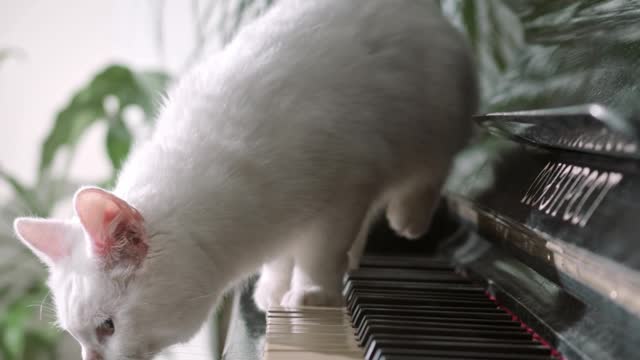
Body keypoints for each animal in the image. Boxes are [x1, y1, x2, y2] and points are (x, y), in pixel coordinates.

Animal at [13, 0, 476, 360]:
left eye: (107, 327)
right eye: (77, 336)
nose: (89, 359)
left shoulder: (346, 190)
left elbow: (319, 252)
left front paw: (311, 294)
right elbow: (285, 256)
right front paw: (274, 288)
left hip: (434, 121)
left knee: (428, 171)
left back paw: (409, 218)